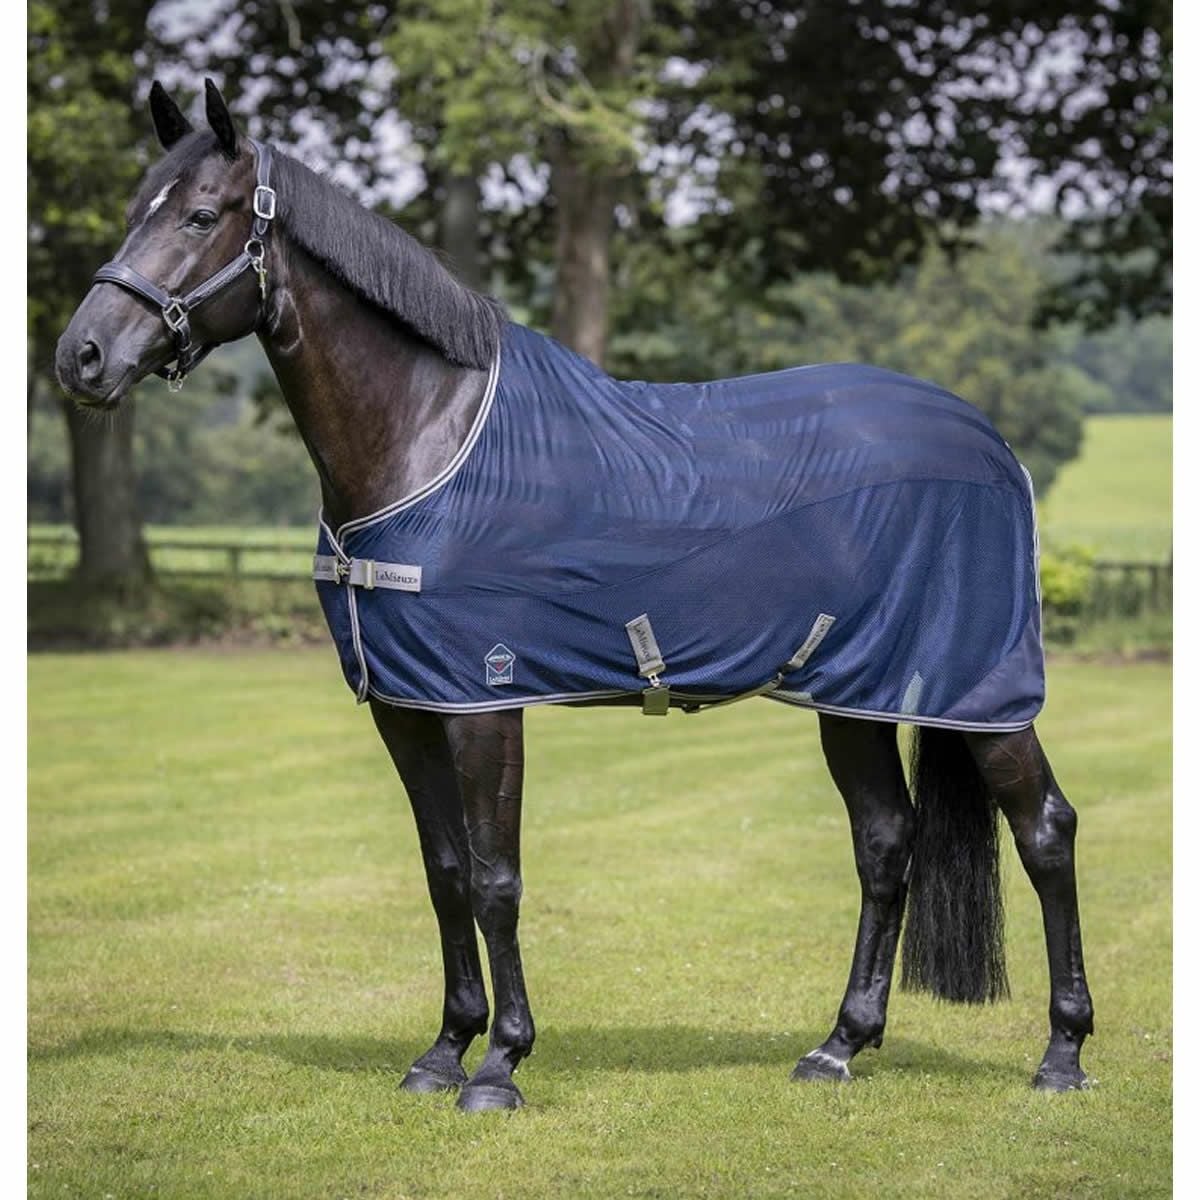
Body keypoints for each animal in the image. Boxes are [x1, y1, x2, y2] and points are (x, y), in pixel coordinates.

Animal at [55, 80, 1093, 1112]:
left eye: (199, 216)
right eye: (133, 211)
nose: (81, 358)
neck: (428, 434)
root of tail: (991, 443)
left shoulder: (483, 698)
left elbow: (496, 877)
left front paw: (500, 1066)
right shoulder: (406, 705)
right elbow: (443, 872)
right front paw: (444, 1050)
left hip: (979, 695)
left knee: (1044, 830)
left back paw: (1062, 1055)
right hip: (852, 691)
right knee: (885, 841)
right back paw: (840, 1044)